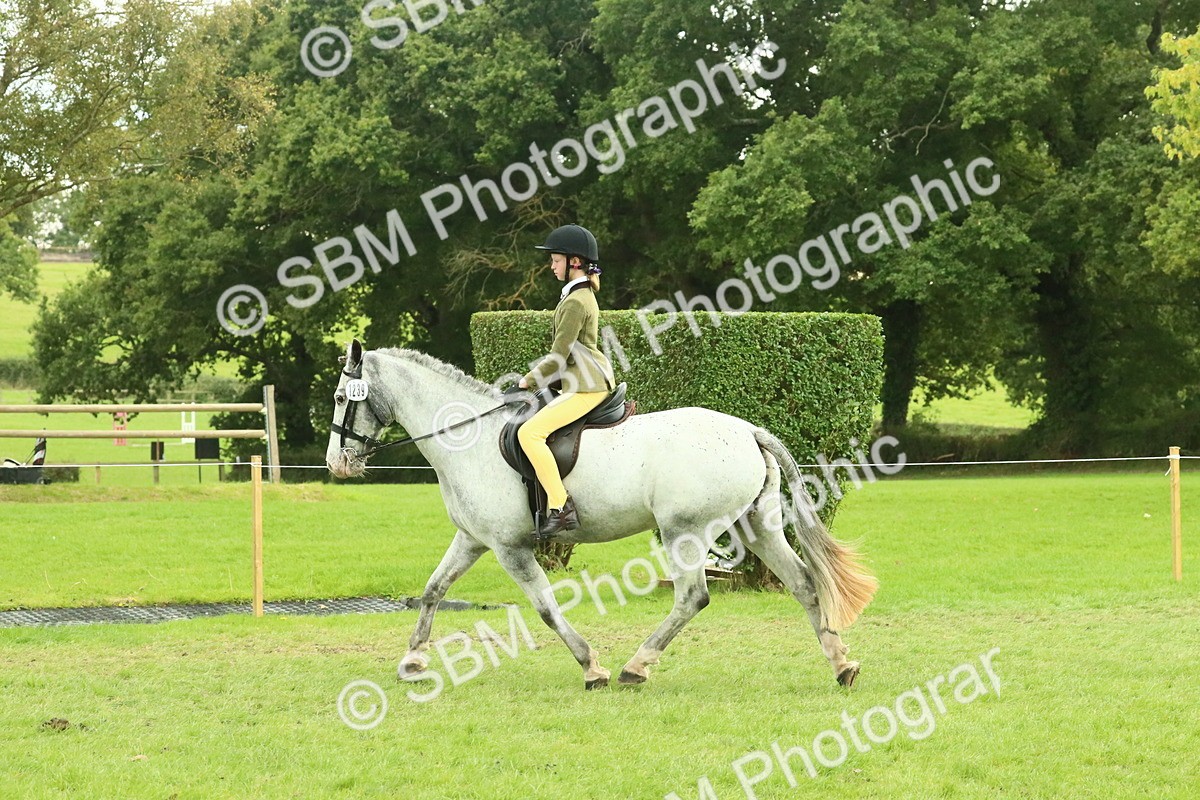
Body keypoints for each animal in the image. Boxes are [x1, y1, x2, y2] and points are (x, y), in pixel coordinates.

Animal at [325, 339, 877, 690]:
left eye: (339, 397)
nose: (337, 464)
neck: (468, 437)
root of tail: (748, 430)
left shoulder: (509, 548)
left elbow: (546, 609)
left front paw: (592, 667)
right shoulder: (474, 539)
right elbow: (433, 590)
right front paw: (413, 661)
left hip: (685, 531)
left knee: (692, 597)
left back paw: (636, 667)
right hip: (755, 526)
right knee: (803, 583)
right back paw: (842, 664)